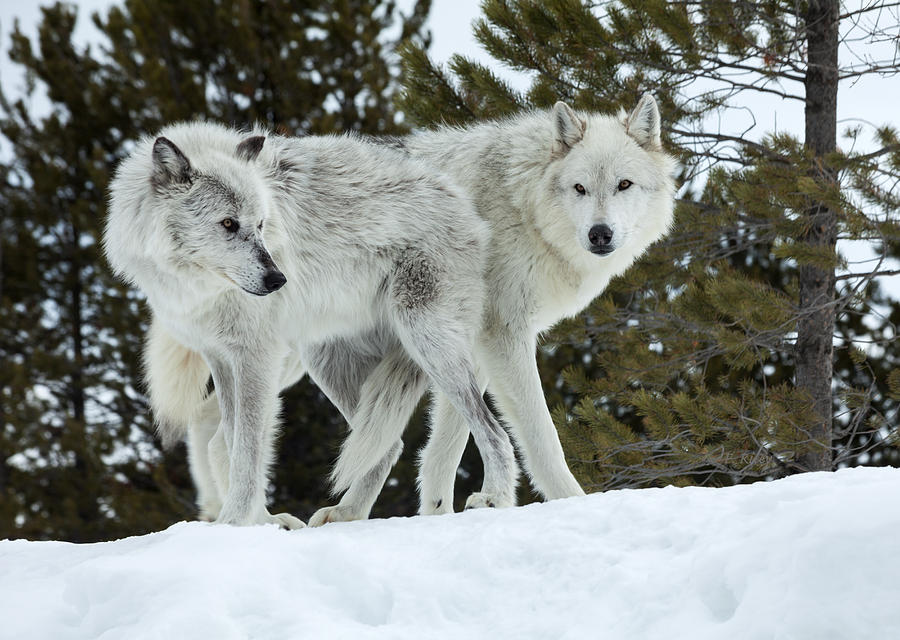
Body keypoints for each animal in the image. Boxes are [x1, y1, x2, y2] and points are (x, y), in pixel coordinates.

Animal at [101, 122, 516, 528]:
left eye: (261, 225)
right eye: (228, 224)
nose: (277, 280)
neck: (198, 287)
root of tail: (465, 206)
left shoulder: (256, 358)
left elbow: (247, 454)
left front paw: (232, 524)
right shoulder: (221, 358)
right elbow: (236, 447)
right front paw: (261, 523)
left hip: (429, 344)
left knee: (493, 431)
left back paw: (495, 498)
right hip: (329, 363)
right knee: (389, 446)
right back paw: (347, 514)